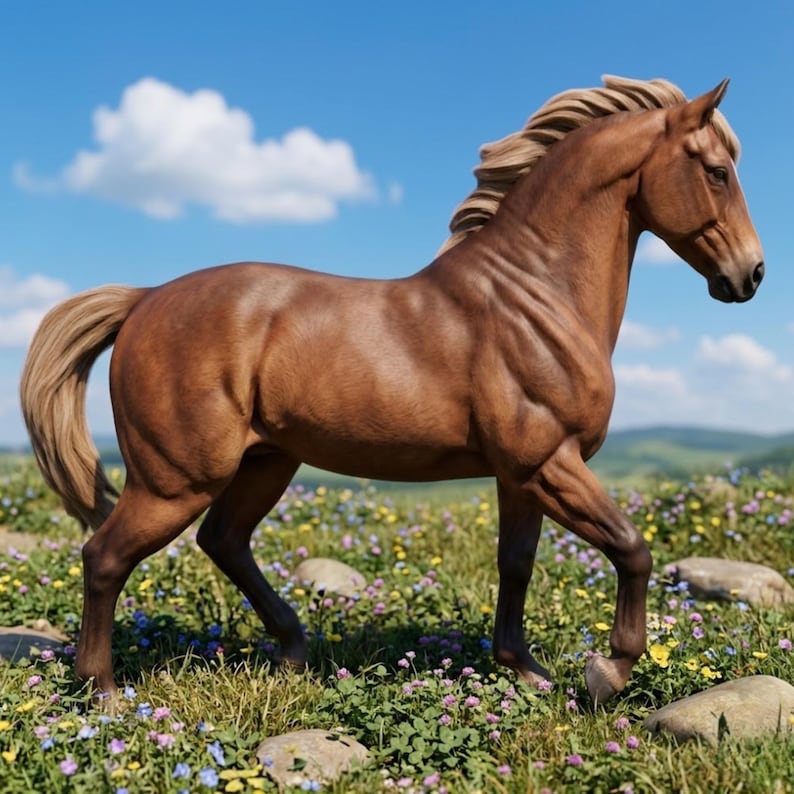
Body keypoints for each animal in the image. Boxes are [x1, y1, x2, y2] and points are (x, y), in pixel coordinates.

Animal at [20, 76, 764, 704]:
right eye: (718, 171)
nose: (750, 275)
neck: (536, 294)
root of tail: (143, 300)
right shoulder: (548, 461)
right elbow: (632, 548)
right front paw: (608, 672)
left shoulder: (521, 473)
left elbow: (516, 563)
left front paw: (526, 671)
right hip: (175, 479)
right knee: (105, 557)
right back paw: (104, 691)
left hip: (266, 461)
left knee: (223, 541)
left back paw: (294, 651)